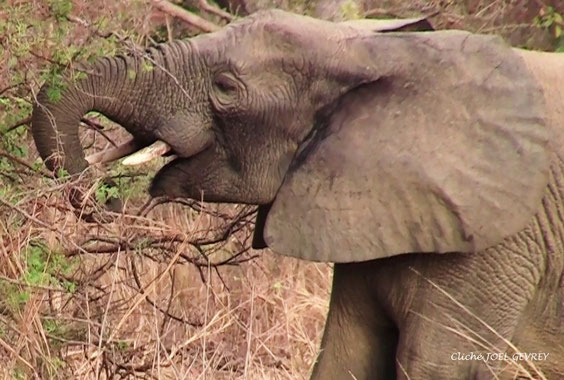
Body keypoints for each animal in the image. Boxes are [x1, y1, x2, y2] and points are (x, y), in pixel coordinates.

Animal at [32, 8, 564, 380]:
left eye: (225, 86)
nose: (106, 202)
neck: (382, 55)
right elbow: (346, 357)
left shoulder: (501, 241)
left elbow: (438, 365)